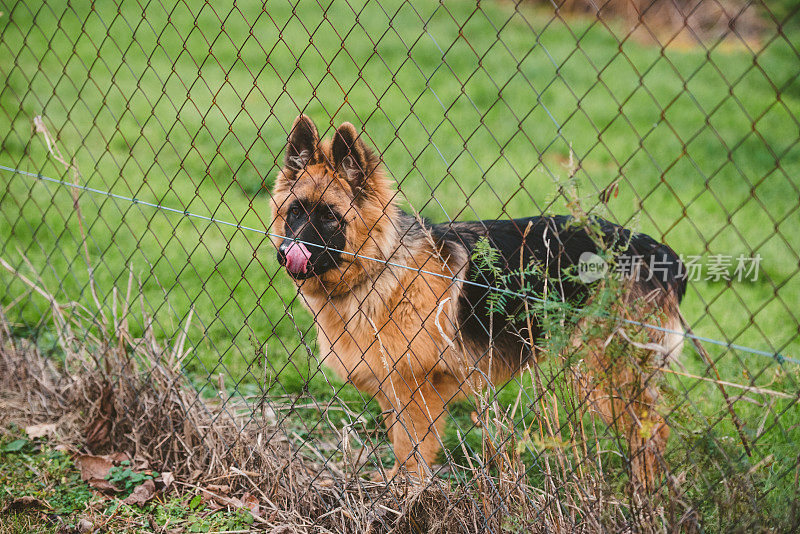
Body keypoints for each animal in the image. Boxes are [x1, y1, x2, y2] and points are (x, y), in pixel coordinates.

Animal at [272, 116, 684, 490]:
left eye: (329, 218)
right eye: (294, 212)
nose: (285, 254)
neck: (381, 266)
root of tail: (656, 250)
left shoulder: (416, 390)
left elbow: (411, 449)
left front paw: (406, 493)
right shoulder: (393, 387)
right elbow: (400, 442)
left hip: (607, 373)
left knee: (653, 431)